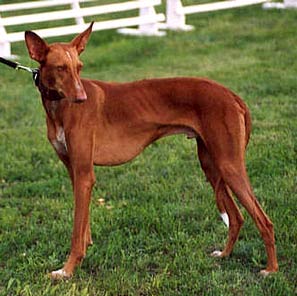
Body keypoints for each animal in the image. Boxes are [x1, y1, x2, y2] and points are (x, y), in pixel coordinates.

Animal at [24, 22, 278, 278]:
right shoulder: (75, 171)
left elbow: (76, 231)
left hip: (229, 165)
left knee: (264, 221)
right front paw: (84, 251)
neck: (59, 108)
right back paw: (225, 254)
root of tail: (231, 95)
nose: (81, 98)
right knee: (236, 218)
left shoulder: (85, 174)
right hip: (211, 165)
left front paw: (66, 270)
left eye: (79, 67)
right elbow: (83, 224)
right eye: (60, 68)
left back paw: (271, 269)